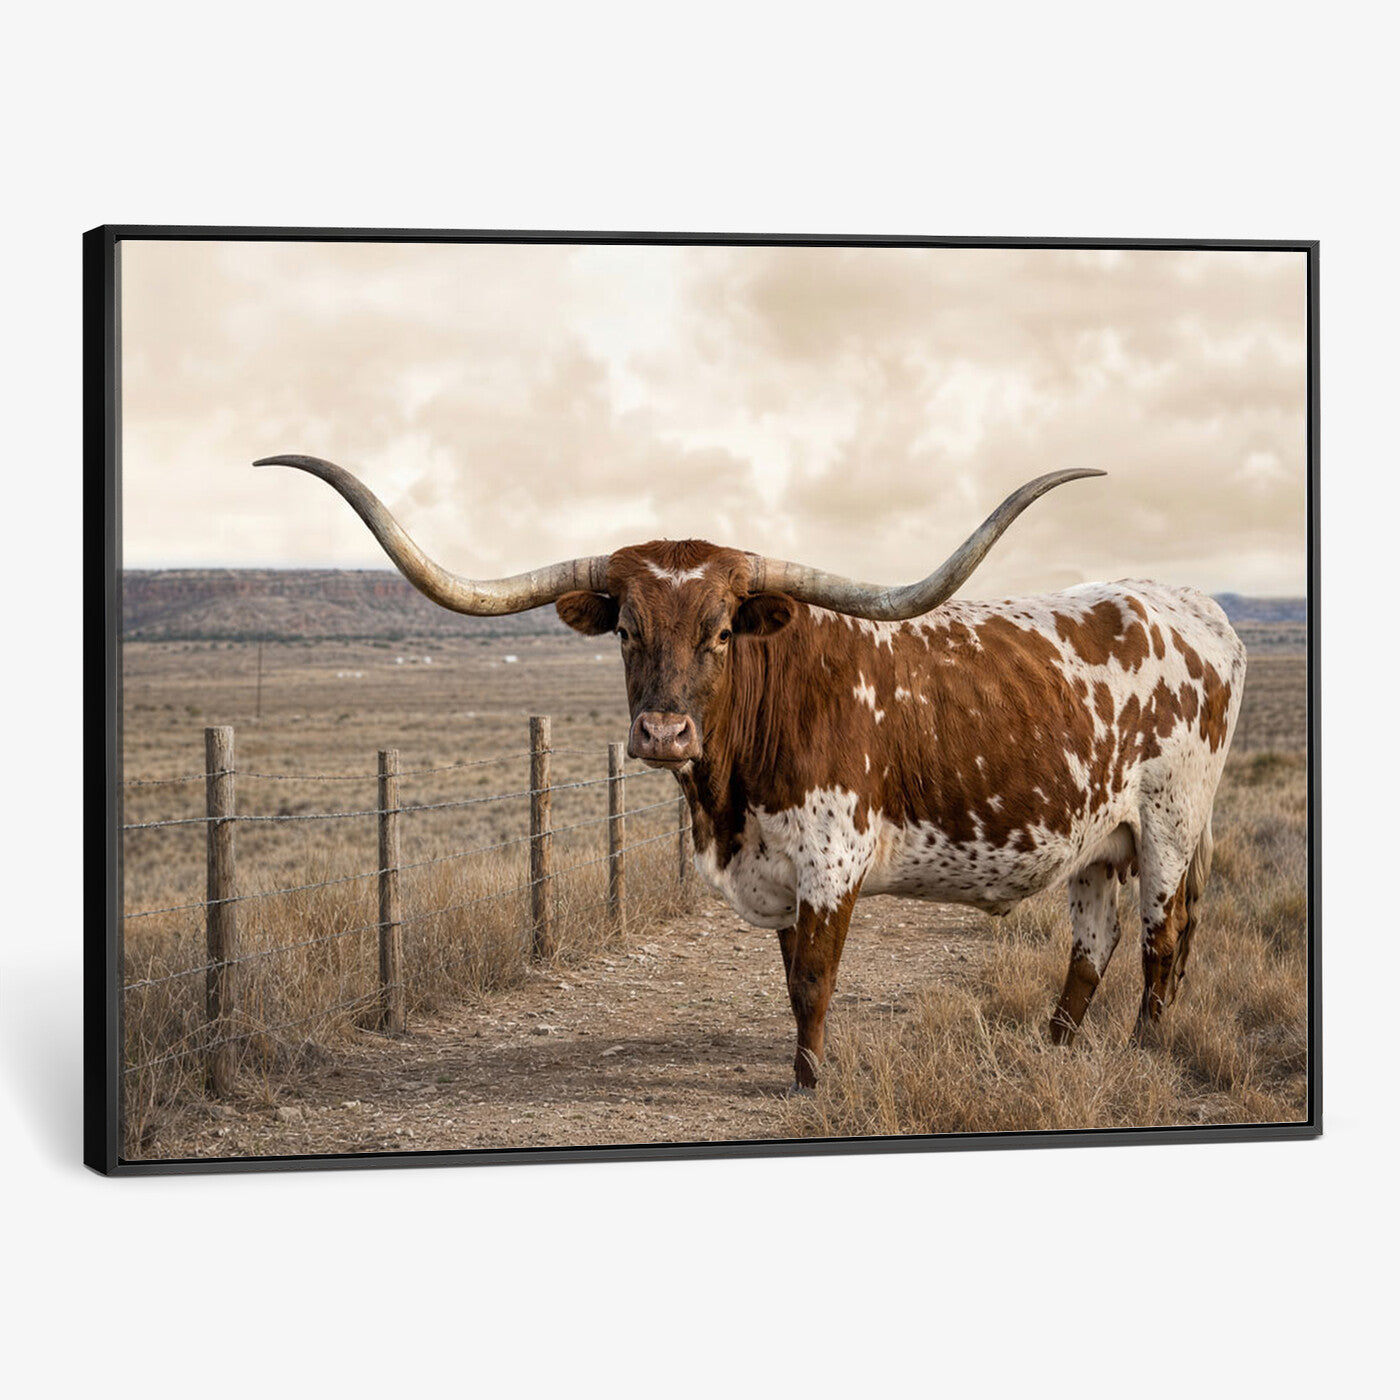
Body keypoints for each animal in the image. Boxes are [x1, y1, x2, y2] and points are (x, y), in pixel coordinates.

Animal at [257, 454, 1246, 1092]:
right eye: (626, 629)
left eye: (722, 630)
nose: (663, 732)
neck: (727, 800)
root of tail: (1194, 605)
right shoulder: (774, 871)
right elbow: (788, 976)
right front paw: (803, 1066)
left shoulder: (831, 864)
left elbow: (814, 979)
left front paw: (809, 1083)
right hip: (1097, 838)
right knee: (1093, 945)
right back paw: (1055, 1047)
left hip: (1169, 825)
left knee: (1163, 941)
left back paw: (1143, 1052)